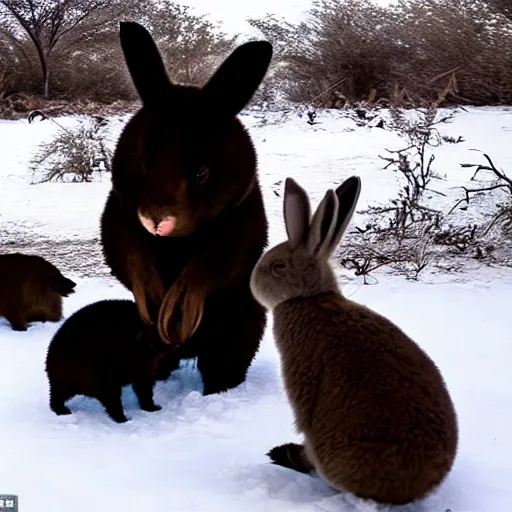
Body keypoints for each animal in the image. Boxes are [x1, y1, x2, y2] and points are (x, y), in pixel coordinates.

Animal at [44, 298, 172, 422]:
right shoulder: (135, 357)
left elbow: (144, 385)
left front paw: (151, 406)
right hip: (93, 370)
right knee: (110, 395)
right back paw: (121, 417)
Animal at [101, 22, 276, 394]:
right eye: (144, 166)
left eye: (201, 173)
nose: (156, 221)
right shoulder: (119, 211)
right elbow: (125, 251)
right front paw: (154, 298)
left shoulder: (243, 217)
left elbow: (221, 260)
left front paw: (177, 310)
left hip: (244, 325)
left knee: (225, 363)